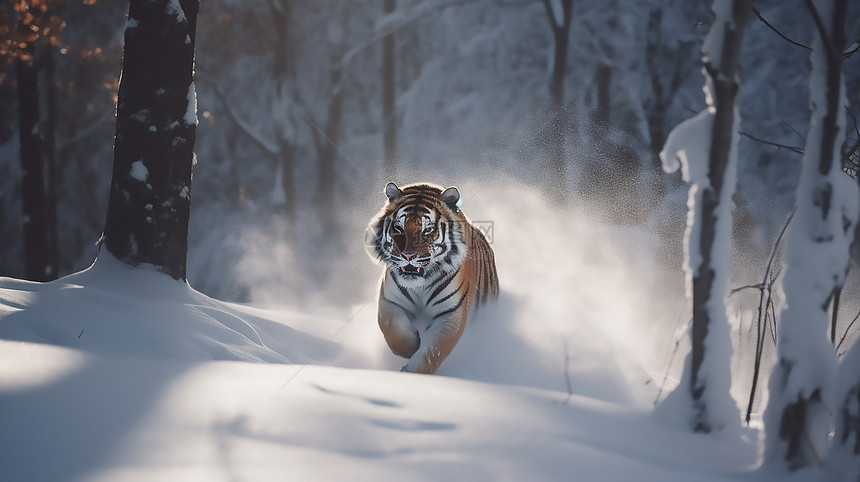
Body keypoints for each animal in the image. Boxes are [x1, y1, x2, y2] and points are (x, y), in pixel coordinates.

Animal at [366, 183, 500, 374]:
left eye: (427, 229)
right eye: (398, 227)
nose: (407, 255)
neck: (420, 283)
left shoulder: (450, 314)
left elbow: (431, 354)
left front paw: (413, 374)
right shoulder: (391, 301)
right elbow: (393, 330)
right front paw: (412, 347)